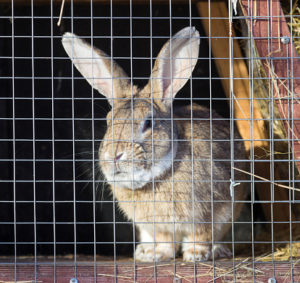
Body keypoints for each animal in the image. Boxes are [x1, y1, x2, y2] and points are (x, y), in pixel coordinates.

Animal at [61, 27, 246, 264]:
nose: (115, 156)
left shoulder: (209, 213)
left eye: (148, 123)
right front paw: (156, 255)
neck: (157, 176)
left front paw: (196, 255)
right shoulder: (157, 226)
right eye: (109, 121)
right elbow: (165, 240)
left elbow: (201, 235)